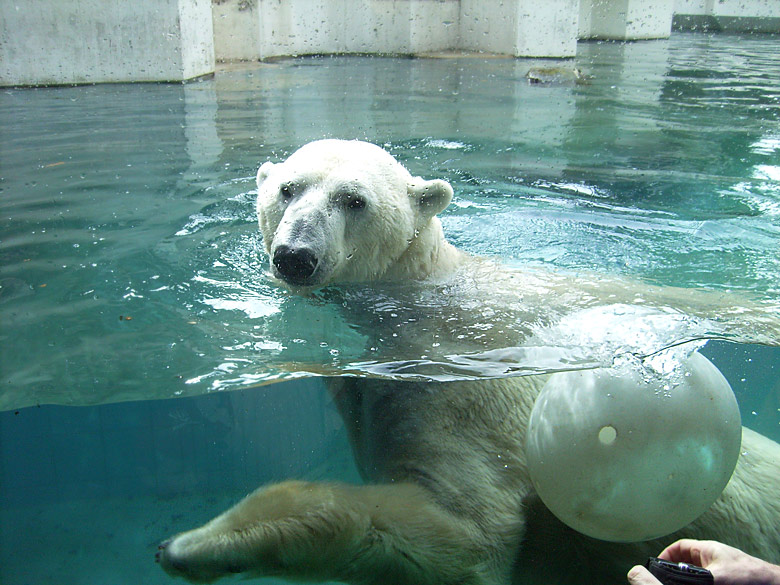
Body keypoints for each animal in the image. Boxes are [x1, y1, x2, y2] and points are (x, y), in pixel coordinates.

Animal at [154, 139, 780, 580]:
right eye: (287, 189)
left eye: (354, 200)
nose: (295, 256)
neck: (422, 300)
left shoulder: (458, 387)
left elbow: (463, 532)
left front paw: (194, 543)